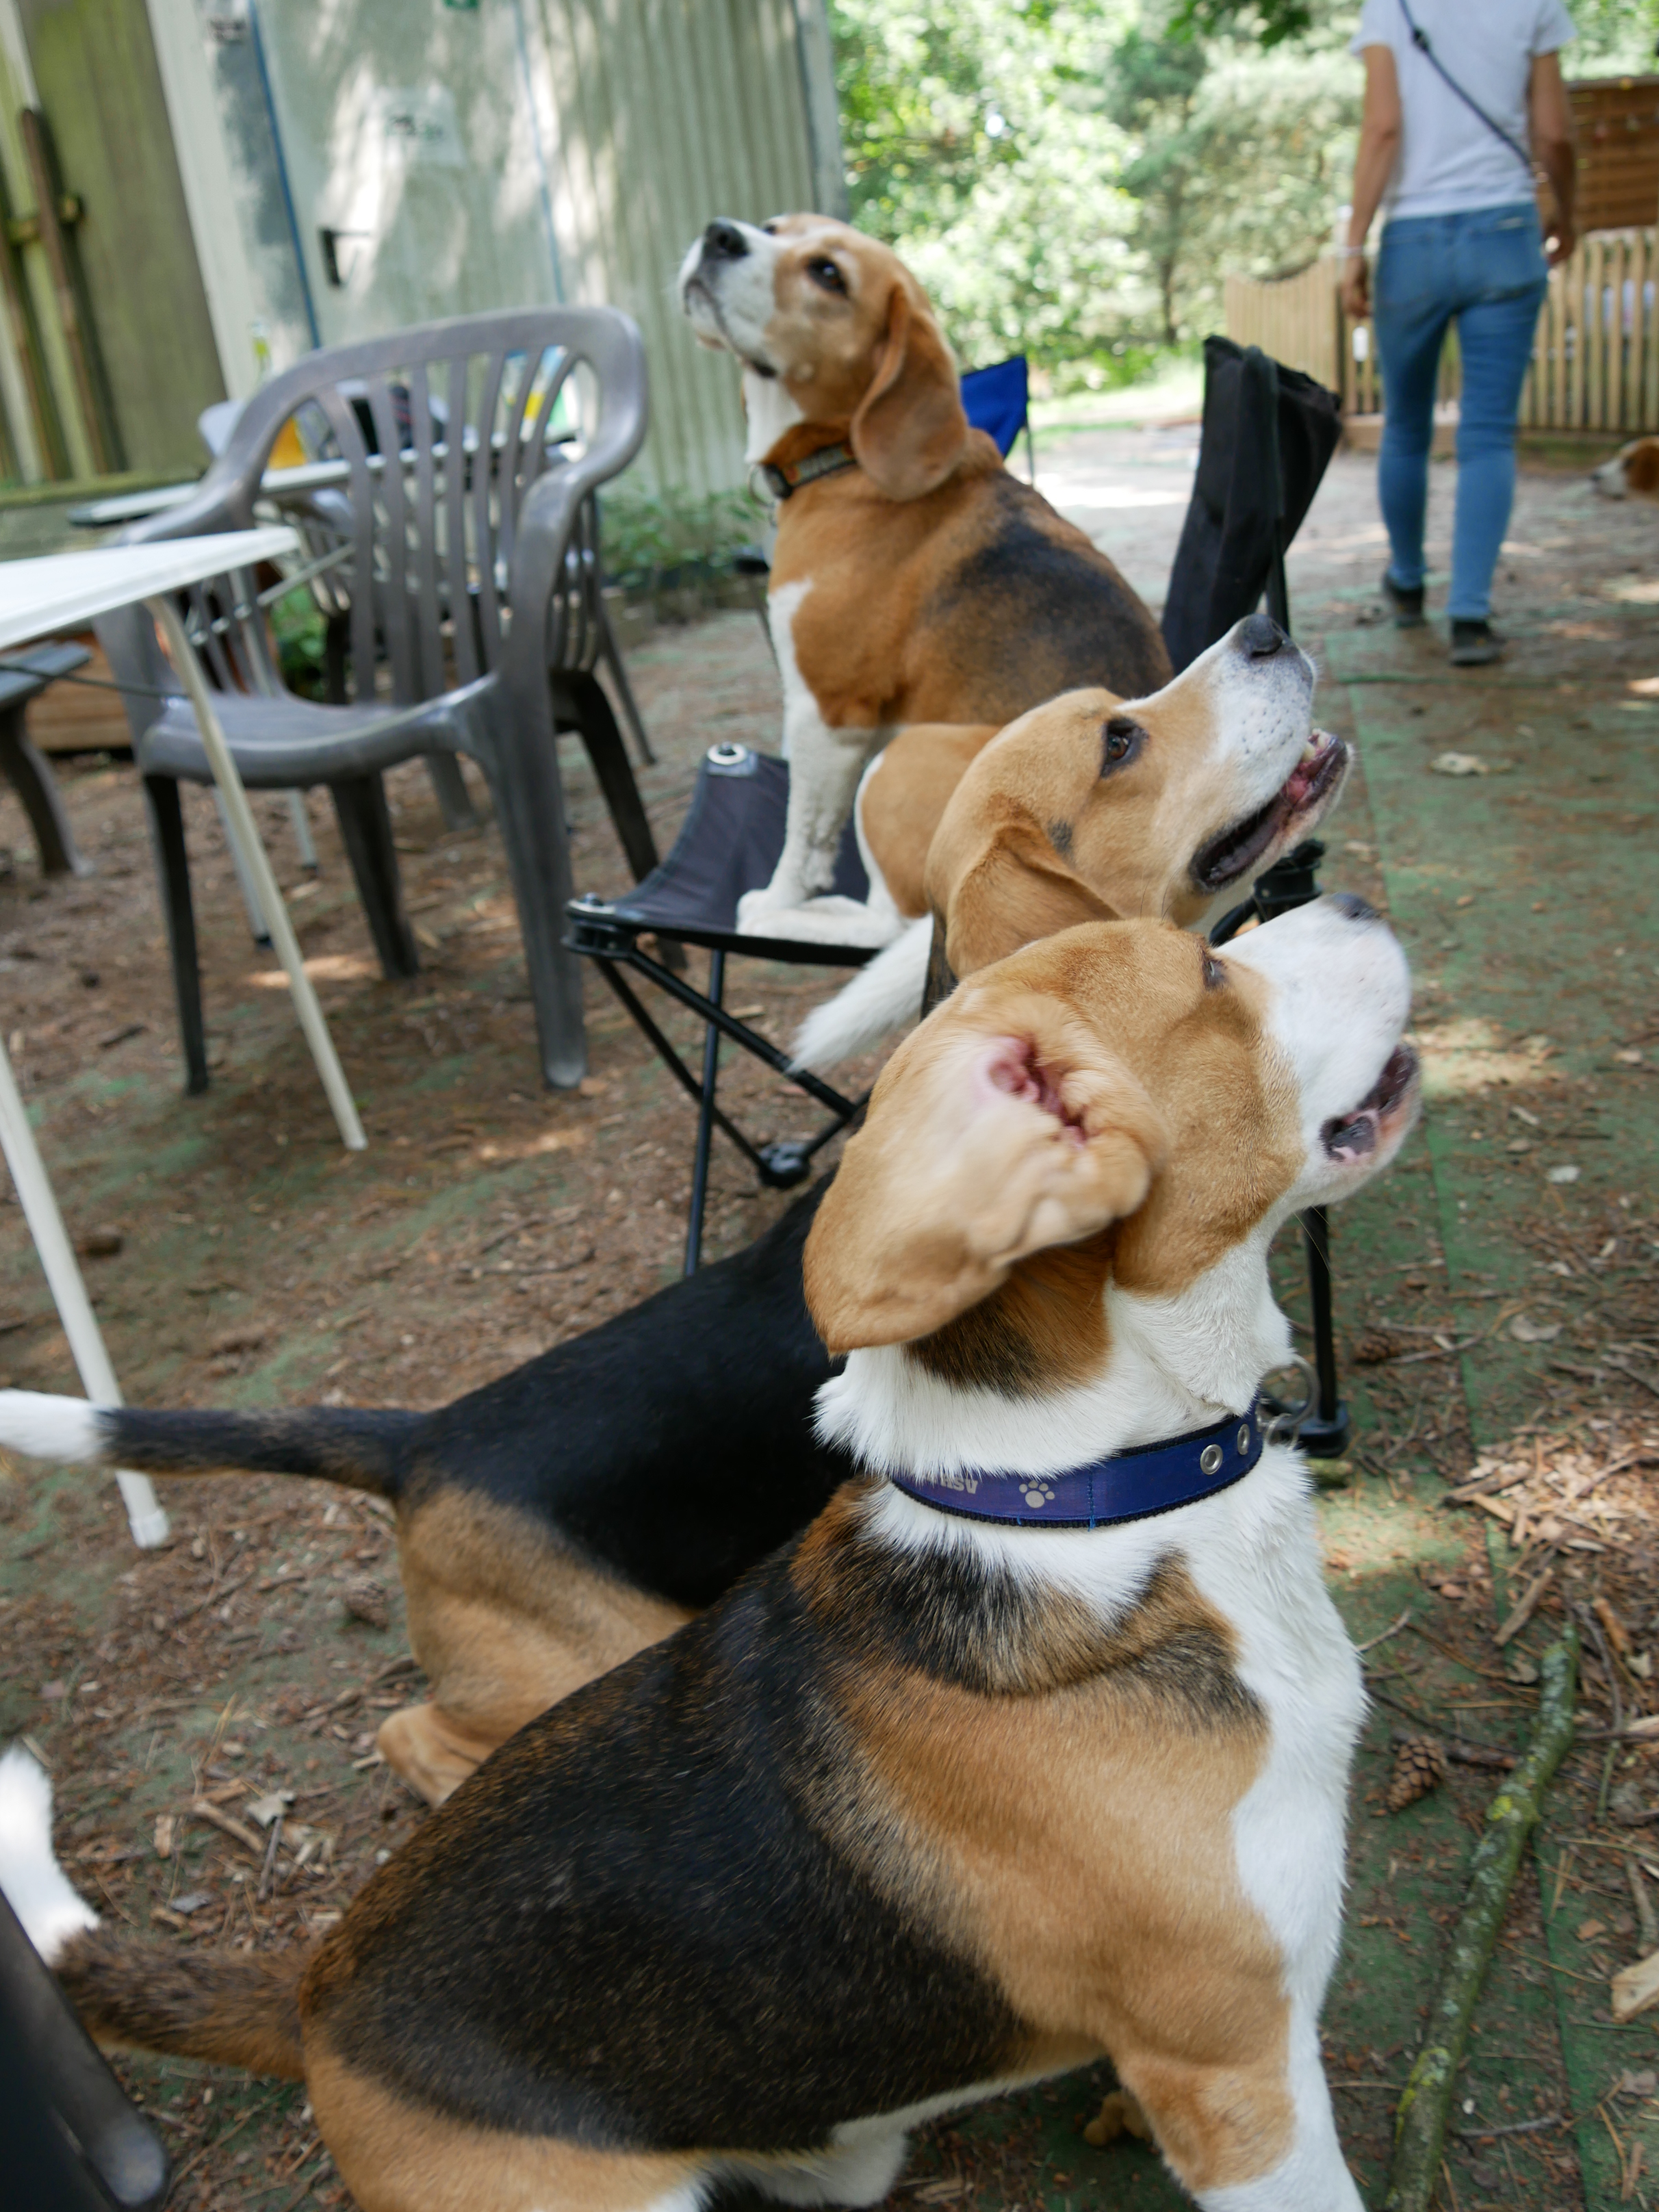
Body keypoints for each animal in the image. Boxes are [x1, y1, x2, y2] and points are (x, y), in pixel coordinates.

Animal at [678, 213, 1170, 941]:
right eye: (773, 229)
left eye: (829, 274)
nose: (720, 234)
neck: (845, 459)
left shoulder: (826, 712)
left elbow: (801, 836)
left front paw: (779, 896)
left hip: (902, 756)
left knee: (892, 925)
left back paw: (780, 916)